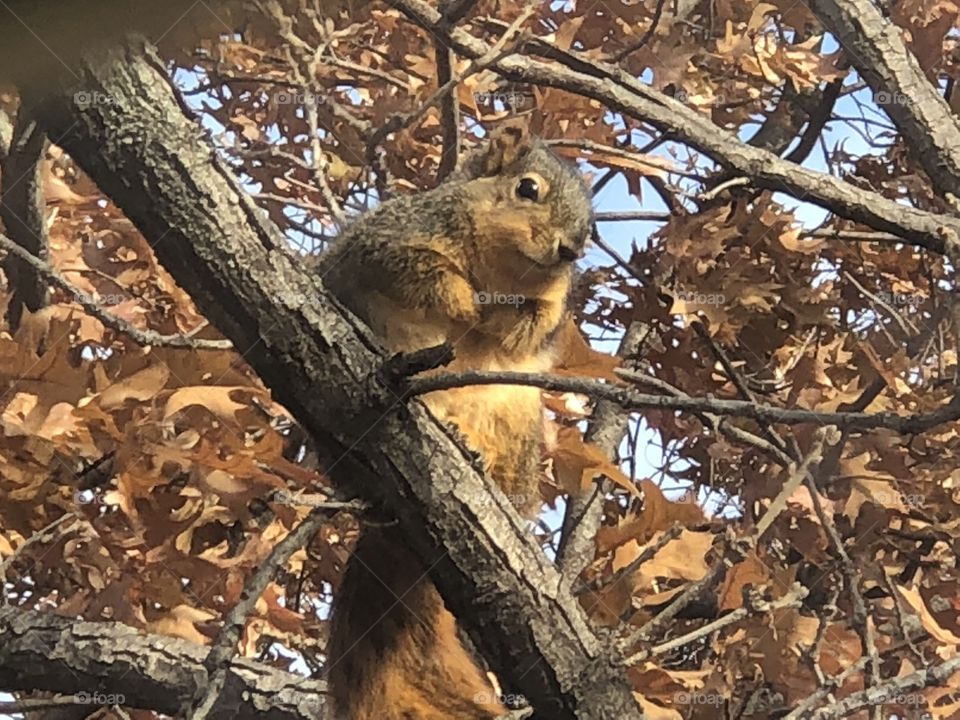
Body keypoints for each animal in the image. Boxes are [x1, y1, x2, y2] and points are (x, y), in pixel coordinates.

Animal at [320, 126, 592, 716]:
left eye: (593, 225)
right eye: (527, 188)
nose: (570, 250)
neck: (501, 269)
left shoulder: (551, 305)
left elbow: (535, 325)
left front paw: (505, 320)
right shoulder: (392, 242)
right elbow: (422, 272)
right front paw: (468, 306)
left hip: (517, 424)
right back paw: (448, 430)